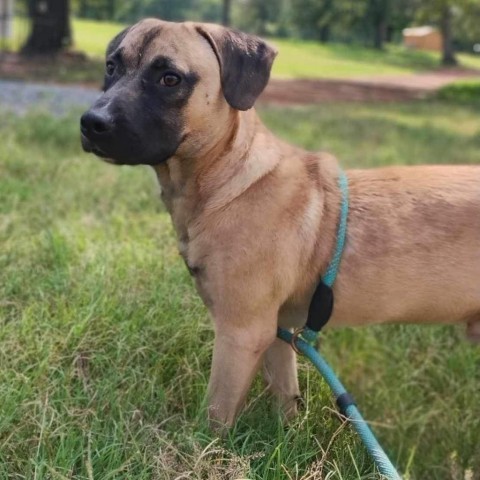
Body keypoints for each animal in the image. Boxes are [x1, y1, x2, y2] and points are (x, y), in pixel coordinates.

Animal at [80, 17, 480, 428]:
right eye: (111, 66)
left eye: (170, 78)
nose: (91, 123)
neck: (230, 178)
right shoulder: (275, 332)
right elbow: (287, 397)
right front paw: (286, 434)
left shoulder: (241, 333)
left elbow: (214, 418)